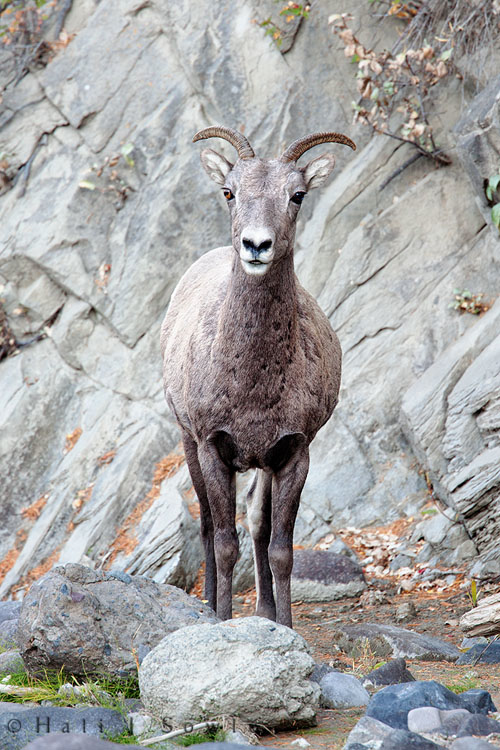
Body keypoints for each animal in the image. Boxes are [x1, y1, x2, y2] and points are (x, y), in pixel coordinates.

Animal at [161, 126, 356, 627]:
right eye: (229, 192)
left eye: (297, 195)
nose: (256, 245)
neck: (254, 381)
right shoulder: (211, 446)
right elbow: (224, 543)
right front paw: (223, 621)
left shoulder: (292, 453)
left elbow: (281, 549)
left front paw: (284, 627)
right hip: (187, 443)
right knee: (207, 526)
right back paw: (209, 606)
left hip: (261, 465)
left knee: (256, 522)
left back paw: (264, 612)